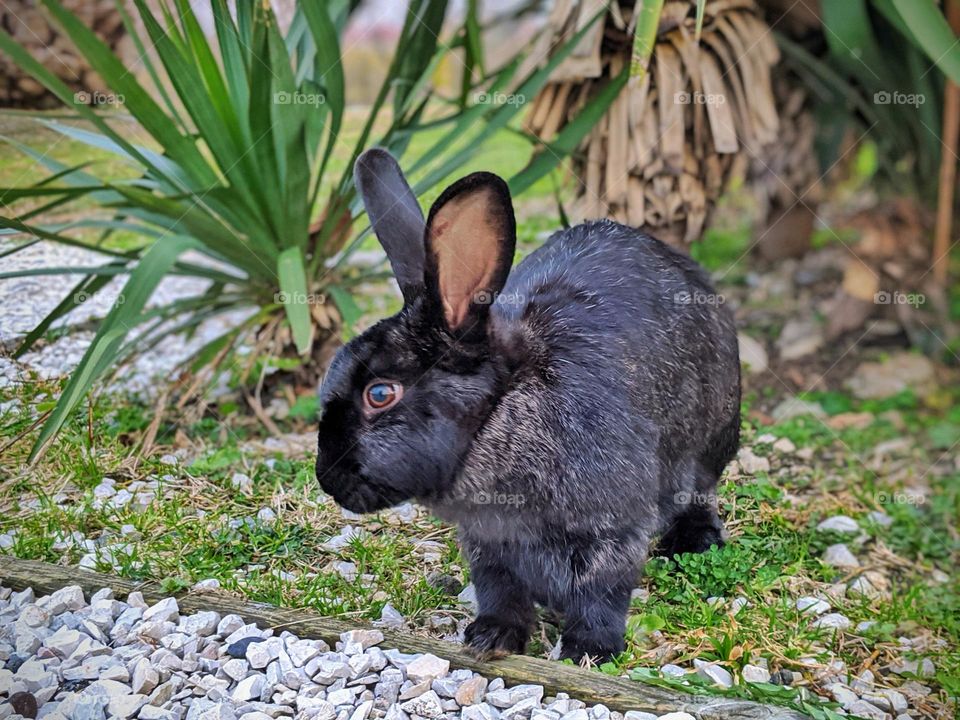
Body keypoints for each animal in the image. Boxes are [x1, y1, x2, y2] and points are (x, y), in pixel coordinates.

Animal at [315, 148, 741, 662]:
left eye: (380, 394)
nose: (327, 478)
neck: (500, 410)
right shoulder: (488, 545)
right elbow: (500, 590)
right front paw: (491, 637)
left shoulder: (612, 531)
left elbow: (603, 592)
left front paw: (588, 650)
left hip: (709, 442)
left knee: (700, 492)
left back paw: (694, 542)